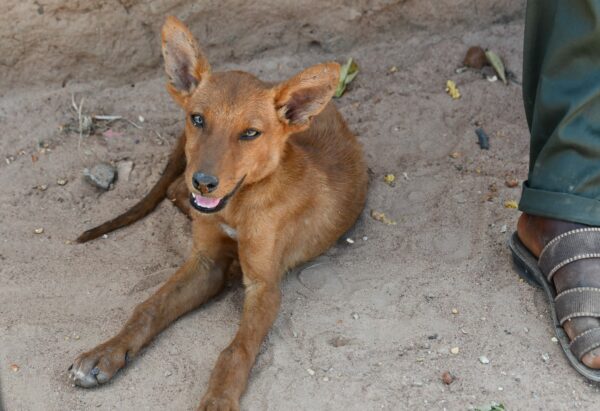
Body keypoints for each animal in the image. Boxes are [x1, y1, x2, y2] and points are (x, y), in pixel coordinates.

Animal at [67, 16, 366, 411]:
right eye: (198, 119)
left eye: (250, 133)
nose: (205, 182)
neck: (237, 207)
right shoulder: (206, 262)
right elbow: (148, 307)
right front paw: (105, 352)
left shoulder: (265, 286)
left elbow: (236, 350)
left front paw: (218, 397)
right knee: (174, 189)